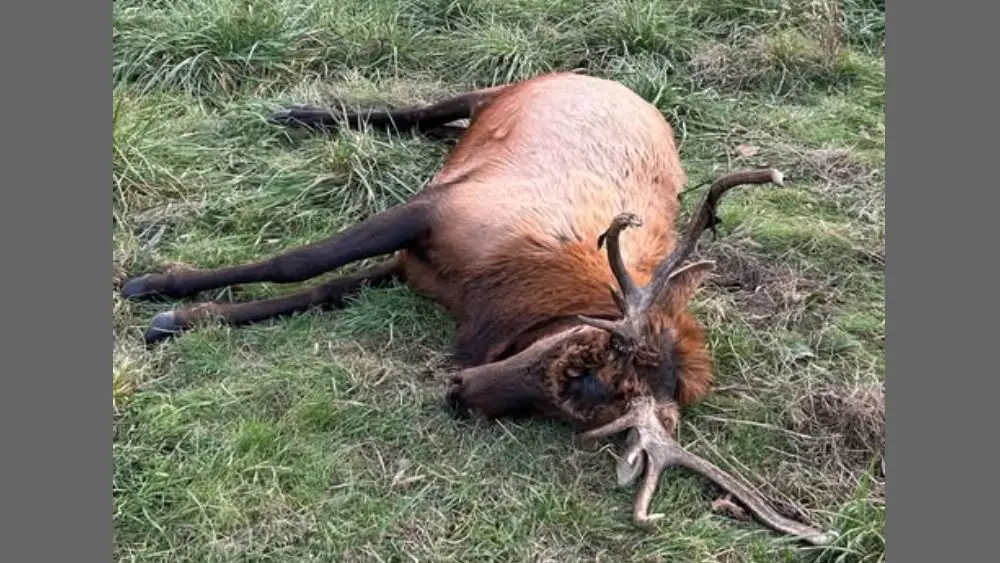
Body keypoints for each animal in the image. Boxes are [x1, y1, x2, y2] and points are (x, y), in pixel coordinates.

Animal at [119, 71, 834, 546]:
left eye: (576, 417)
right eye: (576, 364)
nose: (459, 393)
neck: (493, 295)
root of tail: (616, 83)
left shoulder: (416, 269)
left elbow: (317, 291)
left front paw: (182, 318)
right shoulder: (430, 215)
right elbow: (297, 262)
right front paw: (154, 286)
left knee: (440, 129)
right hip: (496, 91)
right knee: (419, 111)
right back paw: (302, 113)